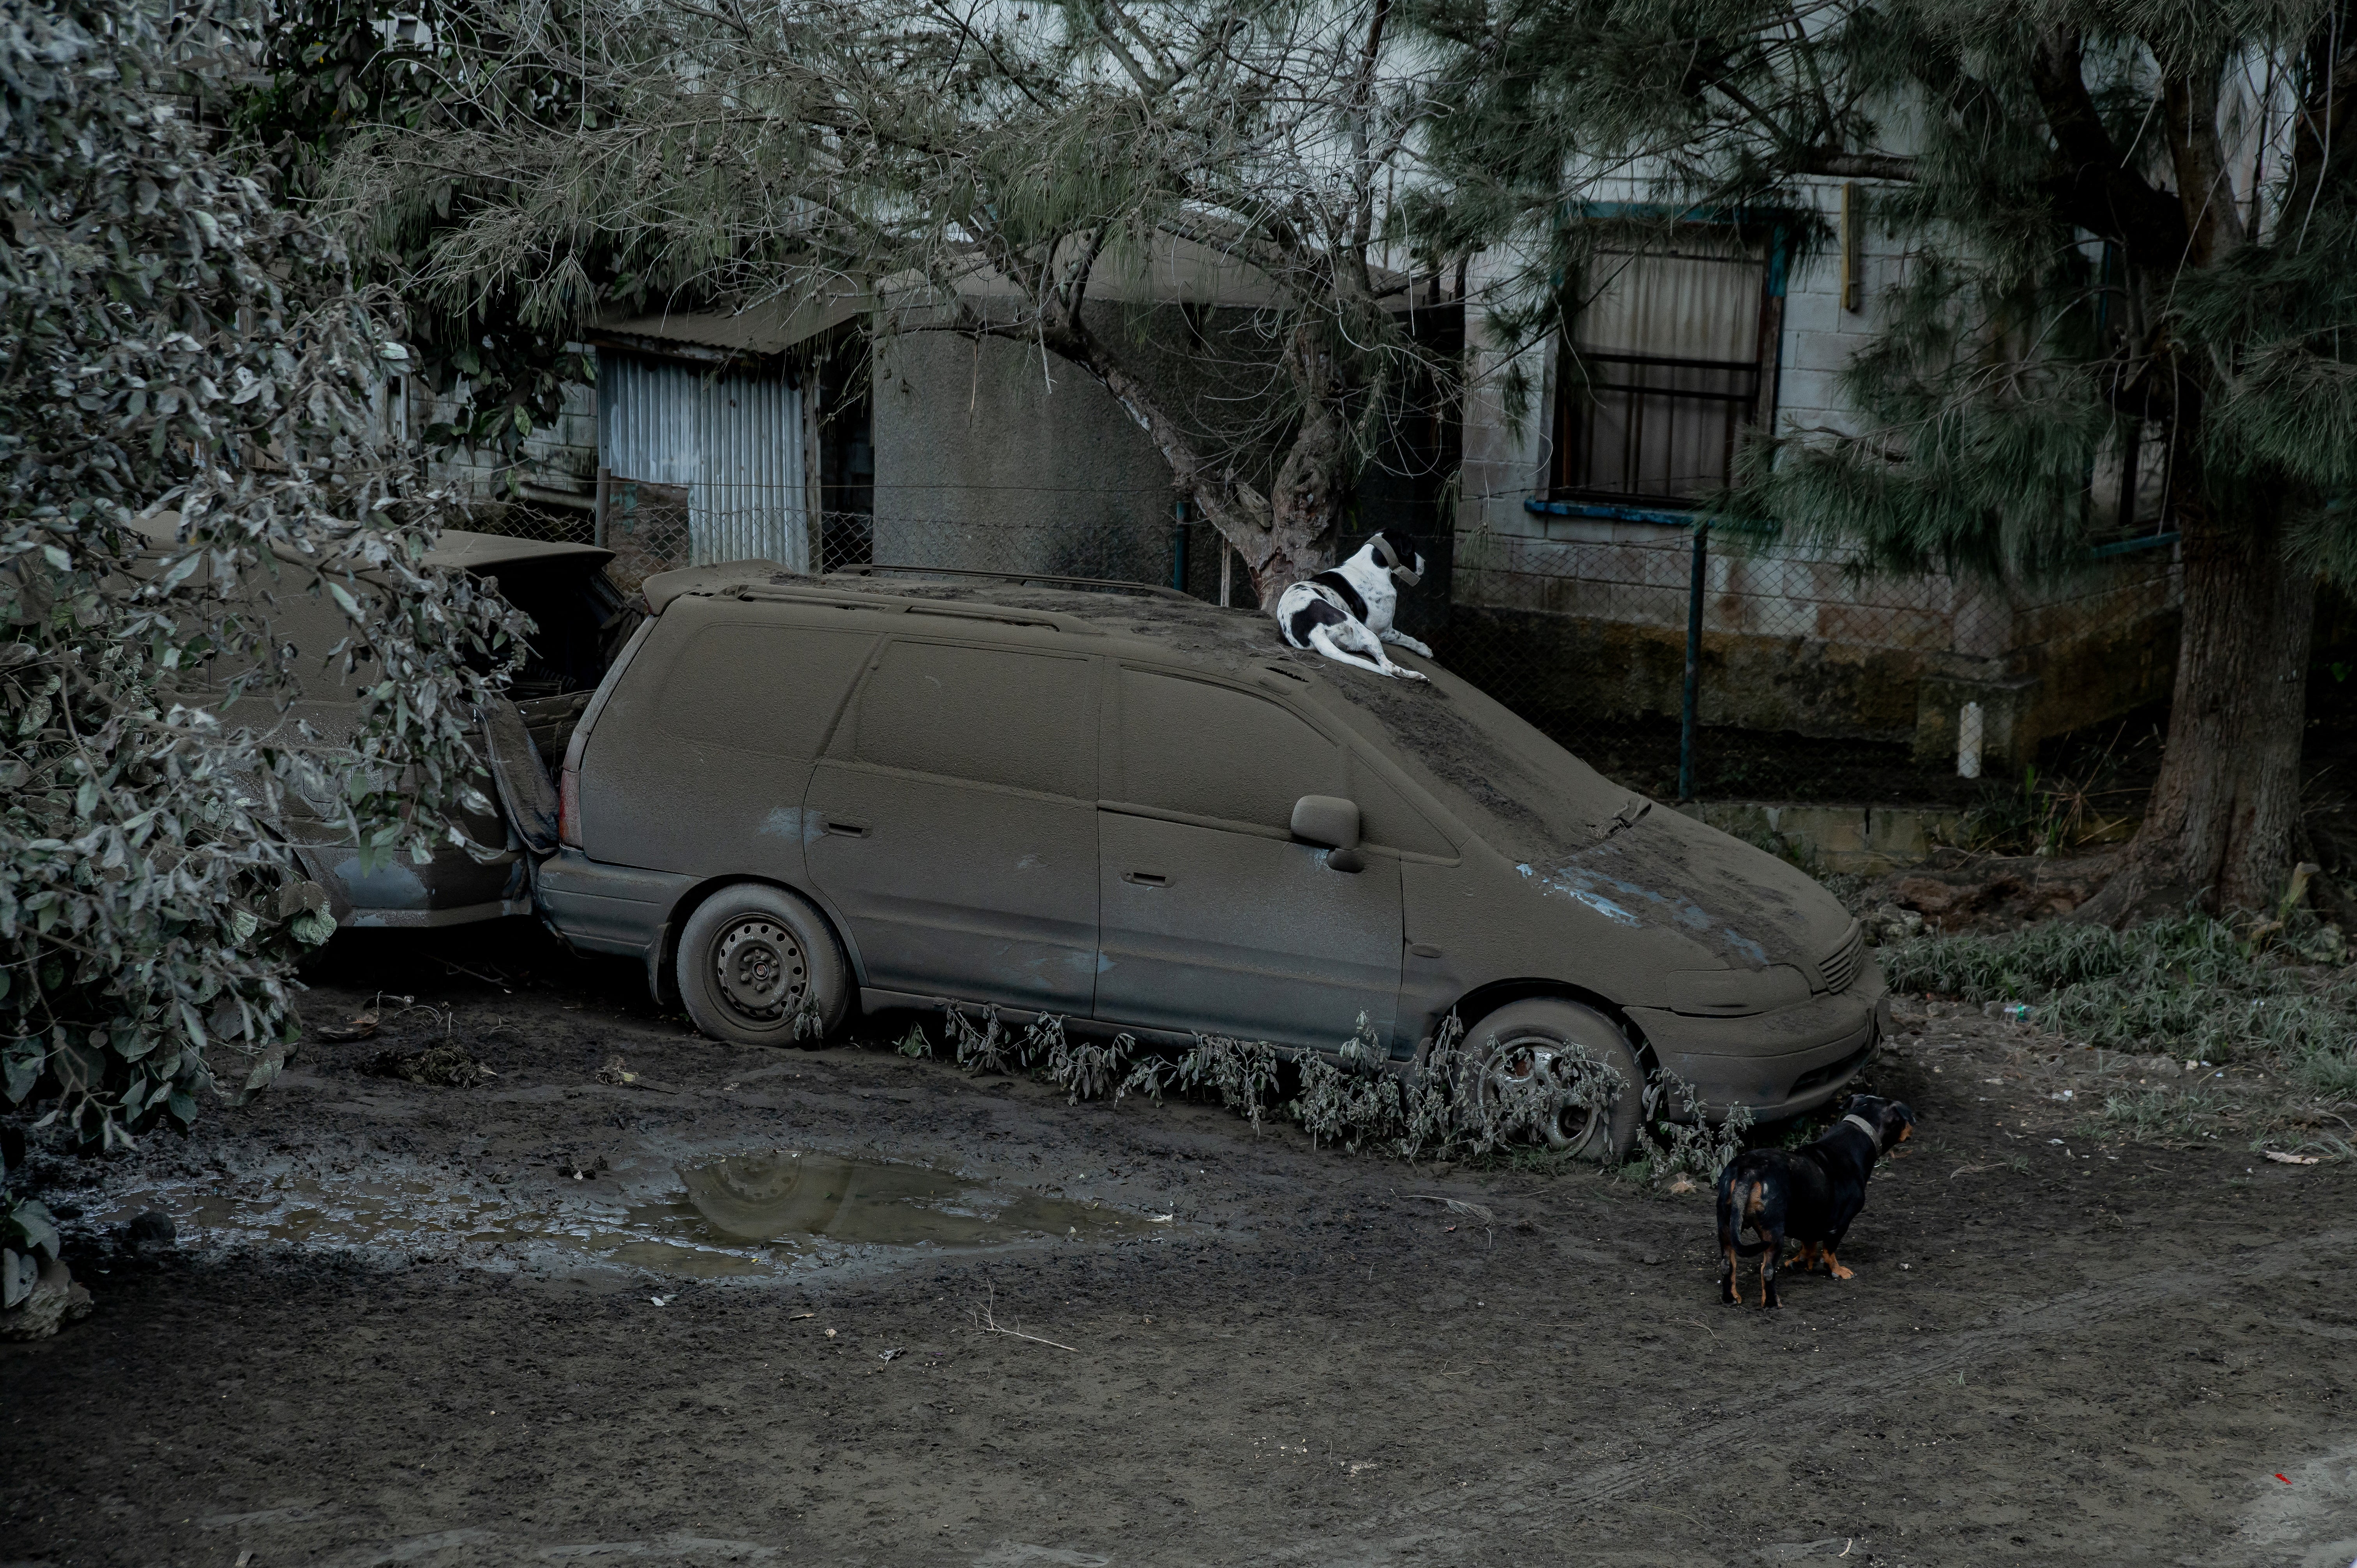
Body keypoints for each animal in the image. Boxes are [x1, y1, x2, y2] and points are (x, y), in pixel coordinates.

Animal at [1282, 528, 1423, 674]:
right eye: (1413, 549)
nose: (1424, 561)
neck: (1372, 567)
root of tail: (1314, 629)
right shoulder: (1384, 630)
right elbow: (1408, 639)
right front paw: (1425, 650)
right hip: (1368, 634)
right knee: (1388, 667)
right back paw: (1418, 676)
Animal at [1716, 1089, 1914, 1311]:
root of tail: (1748, 1173)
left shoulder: (1809, 1219)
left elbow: (1808, 1243)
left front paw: (1802, 1261)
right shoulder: (1839, 1225)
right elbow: (1829, 1251)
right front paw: (1837, 1270)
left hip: (1726, 1227)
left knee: (1728, 1265)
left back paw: (1731, 1298)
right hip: (1773, 1234)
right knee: (1767, 1270)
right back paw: (1772, 1304)